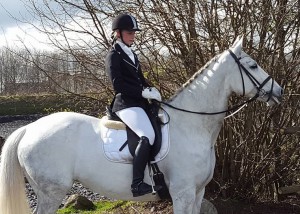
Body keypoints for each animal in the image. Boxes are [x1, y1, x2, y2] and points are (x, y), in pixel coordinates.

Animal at [0, 37, 282, 213]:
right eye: (253, 65)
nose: (279, 91)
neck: (192, 126)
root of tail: (29, 128)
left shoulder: (198, 192)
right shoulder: (183, 193)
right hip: (51, 192)